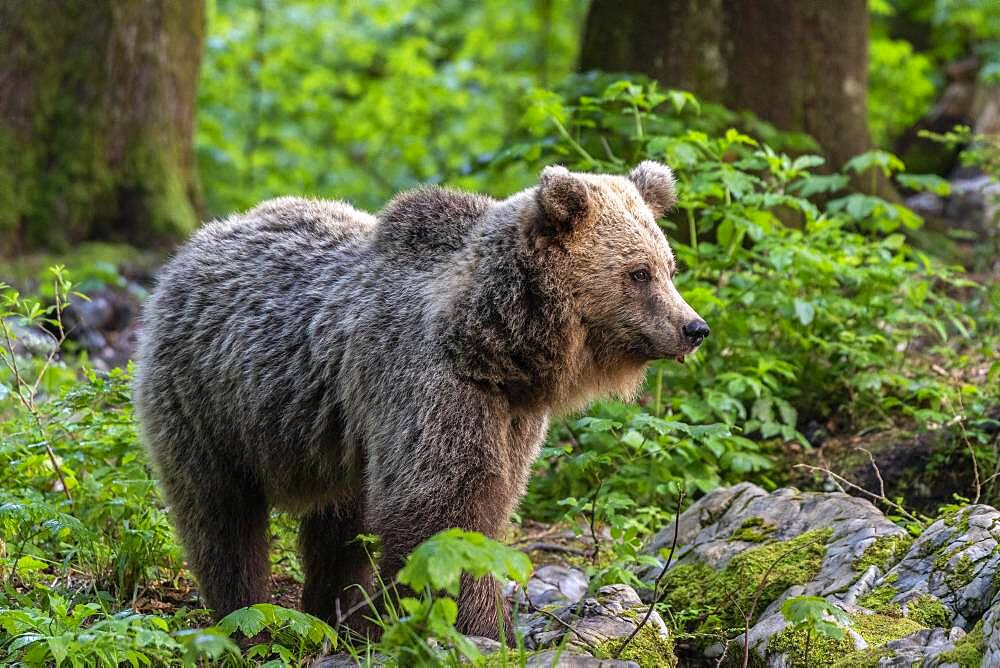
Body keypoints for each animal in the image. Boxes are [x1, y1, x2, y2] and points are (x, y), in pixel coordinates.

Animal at [133, 162, 708, 640]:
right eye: (638, 272)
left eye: (669, 266)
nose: (694, 327)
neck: (494, 344)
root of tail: (196, 243)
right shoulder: (429, 386)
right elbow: (443, 508)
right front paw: (483, 627)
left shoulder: (510, 415)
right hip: (204, 401)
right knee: (221, 514)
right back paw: (247, 615)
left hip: (336, 441)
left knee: (340, 525)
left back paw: (341, 617)